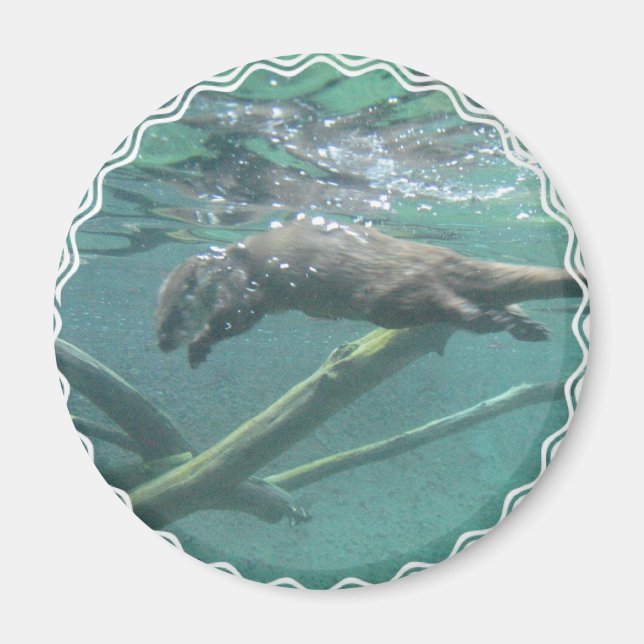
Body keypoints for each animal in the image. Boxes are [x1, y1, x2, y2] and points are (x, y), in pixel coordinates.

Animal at [156, 218, 583, 367]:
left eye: (174, 313)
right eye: (155, 317)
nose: (161, 343)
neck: (230, 263)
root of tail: (438, 254)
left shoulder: (244, 287)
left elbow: (234, 317)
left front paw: (199, 343)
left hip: (387, 298)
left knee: (443, 300)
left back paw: (482, 318)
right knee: (499, 297)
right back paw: (524, 326)